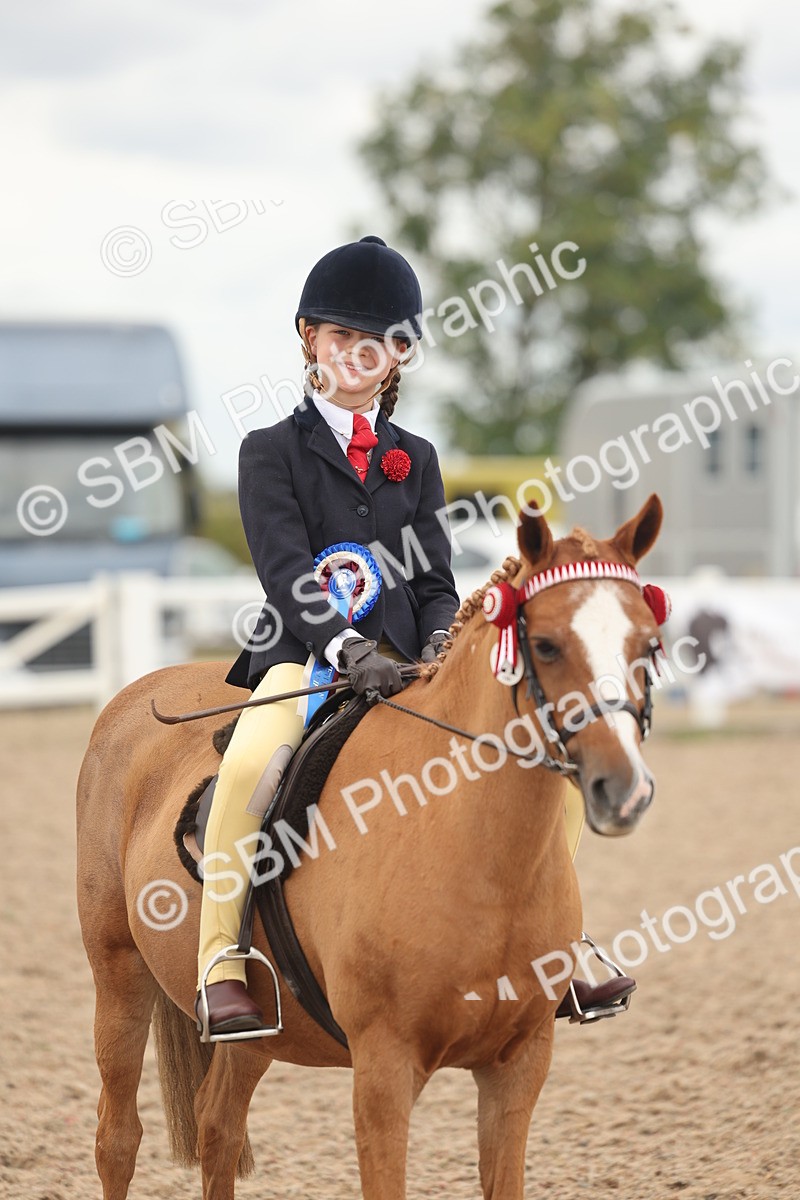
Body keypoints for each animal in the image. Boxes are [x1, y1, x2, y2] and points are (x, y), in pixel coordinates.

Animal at [76, 493, 664, 1200]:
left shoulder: (518, 1068)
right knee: (118, 1138)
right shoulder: (384, 1070)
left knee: (218, 1126)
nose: (623, 789)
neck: (477, 857)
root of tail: (137, 695)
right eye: (546, 645)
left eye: (651, 645)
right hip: (117, 974)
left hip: (258, 1033)